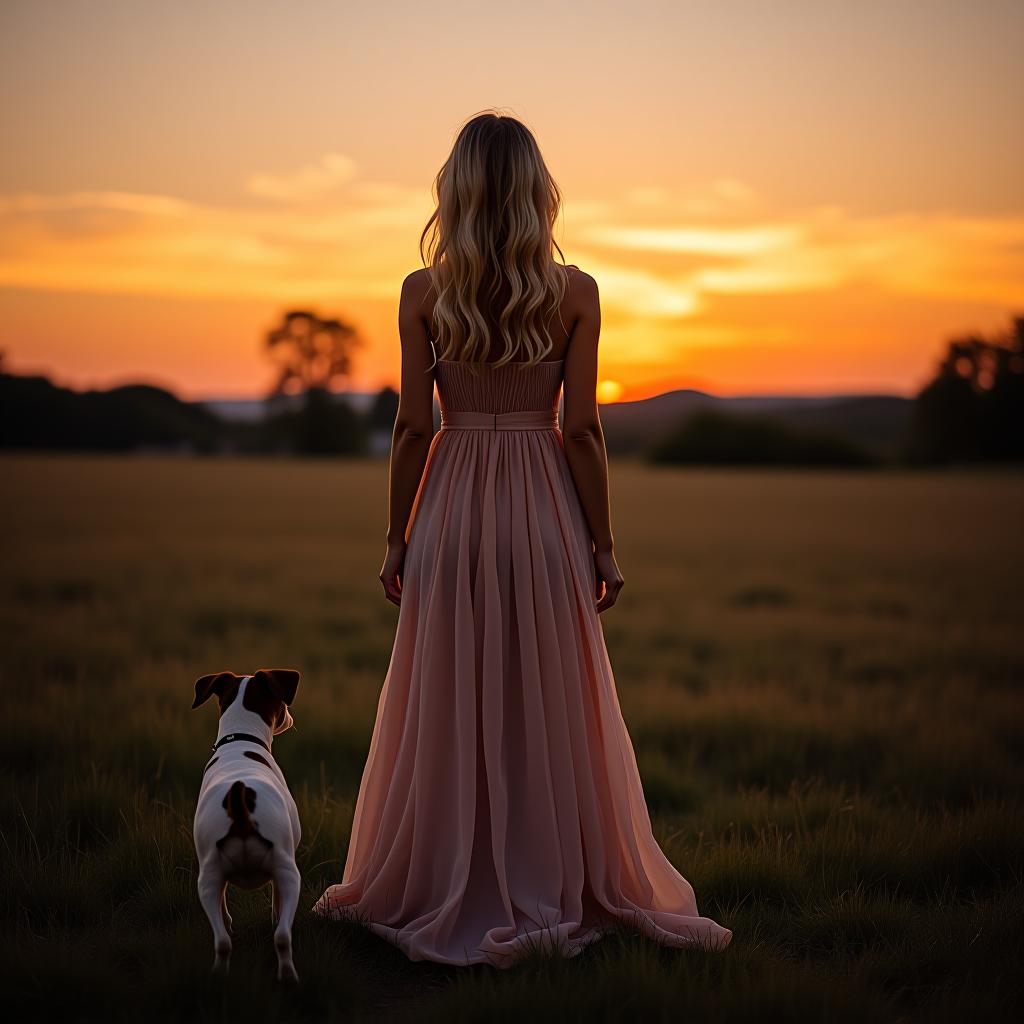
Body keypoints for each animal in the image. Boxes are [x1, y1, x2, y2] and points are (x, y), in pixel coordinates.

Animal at [192, 667, 301, 978]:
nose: (290, 717)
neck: (241, 739)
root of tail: (241, 812)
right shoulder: (283, 865)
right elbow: (277, 905)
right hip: (291, 873)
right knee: (283, 936)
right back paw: (288, 975)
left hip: (206, 880)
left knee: (222, 942)